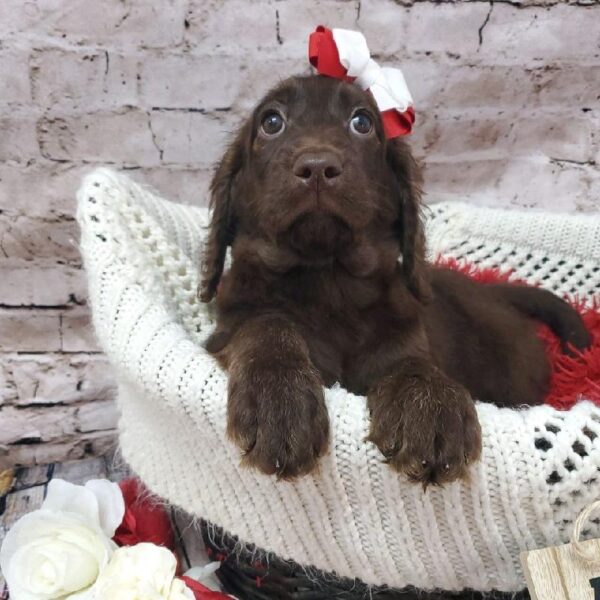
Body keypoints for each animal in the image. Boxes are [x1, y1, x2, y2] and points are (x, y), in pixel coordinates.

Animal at [198, 76, 592, 488]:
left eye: (363, 123)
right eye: (271, 122)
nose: (318, 167)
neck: (327, 280)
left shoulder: (404, 333)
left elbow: (410, 361)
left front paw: (431, 404)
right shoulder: (227, 329)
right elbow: (265, 324)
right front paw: (279, 395)